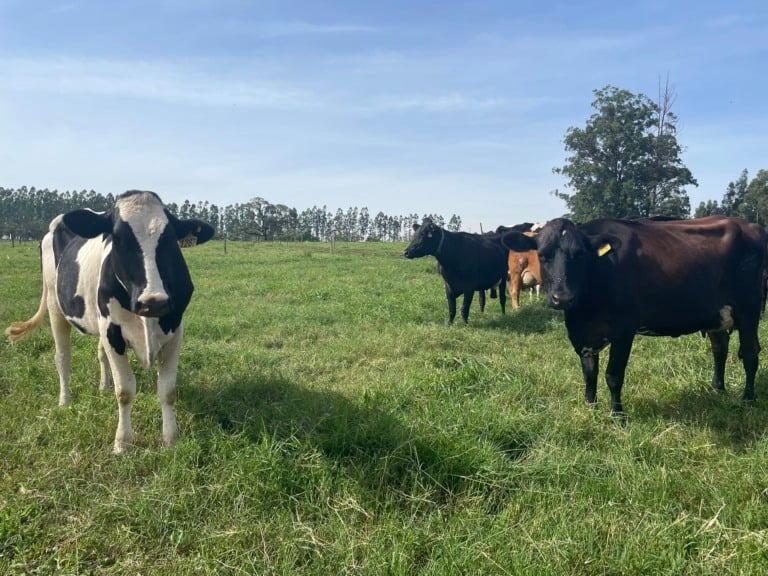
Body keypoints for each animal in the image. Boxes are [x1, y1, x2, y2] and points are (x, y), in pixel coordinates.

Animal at [5, 190, 215, 453]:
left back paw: (103, 387)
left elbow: (167, 390)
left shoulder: (175, 331)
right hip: (55, 304)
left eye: (169, 240)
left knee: (100, 354)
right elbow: (124, 391)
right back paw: (65, 401)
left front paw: (171, 439)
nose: (154, 301)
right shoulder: (112, 332)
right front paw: (122, 443)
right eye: (119, 239)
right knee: (62, 357)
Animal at [500, 215, 767, 416]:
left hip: (749, 309)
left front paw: (617, 415)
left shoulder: (623, 330)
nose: (562, 298)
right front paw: (590, 408)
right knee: (720, 349)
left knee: (750, 354)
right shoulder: (583, 334)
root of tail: (750, 225)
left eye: (580, 255)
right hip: (717, 315)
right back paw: (717, 389)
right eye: (543, 255)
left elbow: (613, 375)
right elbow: (589, 372)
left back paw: (747, 399)